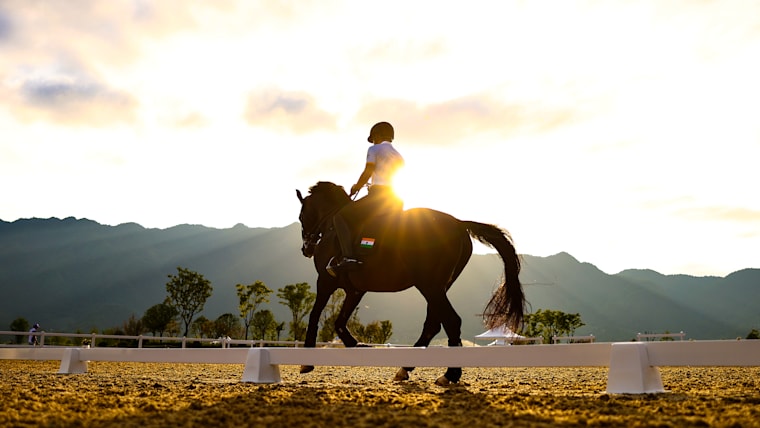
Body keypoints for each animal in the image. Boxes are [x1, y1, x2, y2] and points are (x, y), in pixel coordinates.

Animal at [298, 181, 528, 384]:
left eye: (301, 216)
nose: (306, 249)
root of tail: (458, 223)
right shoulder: (355, 290)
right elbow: (339, 321)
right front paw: (356, 345)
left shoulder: (325, 280)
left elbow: (315, 315)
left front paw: (307, 362)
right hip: (438, 286)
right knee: (434, 324)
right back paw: (407, 368)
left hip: (429, 285)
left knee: (451, 321)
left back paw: (449, 374)